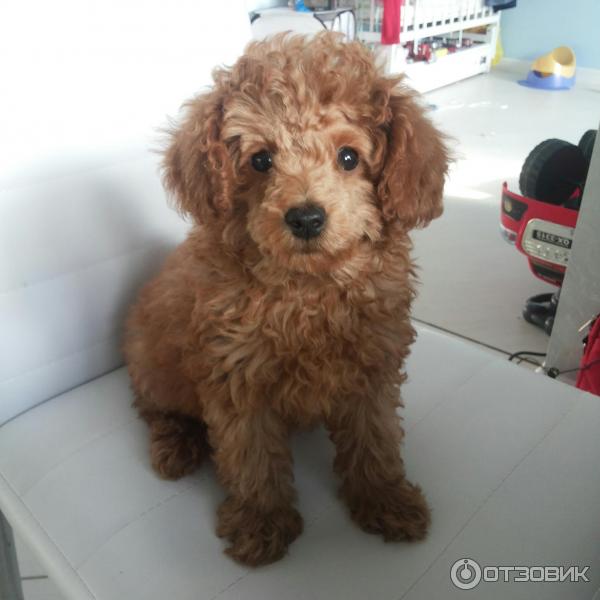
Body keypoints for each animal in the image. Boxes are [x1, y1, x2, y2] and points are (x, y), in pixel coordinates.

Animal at [124, 32, 448, 566]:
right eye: (260, 160)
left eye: (348, 157)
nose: (306, 218)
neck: (308, 287)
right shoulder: (236, 377)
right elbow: (251, 458)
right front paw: (261, 523)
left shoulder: (372, 366)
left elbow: (375, 439)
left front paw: (386, 500)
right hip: (155, 364)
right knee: (155, 407)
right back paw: (177, 445)